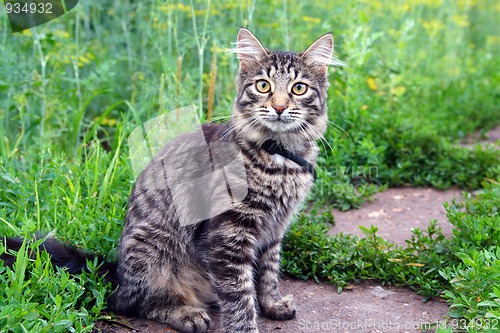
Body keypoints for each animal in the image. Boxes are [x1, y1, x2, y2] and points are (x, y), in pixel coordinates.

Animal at [1, 27, 336, 332]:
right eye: (263, 86)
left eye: (298, 89)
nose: (279, 107)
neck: (280, 157)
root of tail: (116, 272)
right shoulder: (228, 234)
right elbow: (240, 296)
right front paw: (247, 325)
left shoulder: (274, 228)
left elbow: (267, 273)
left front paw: (272, 304)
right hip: (153, 250)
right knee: (135, 303)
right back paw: (186, 315)